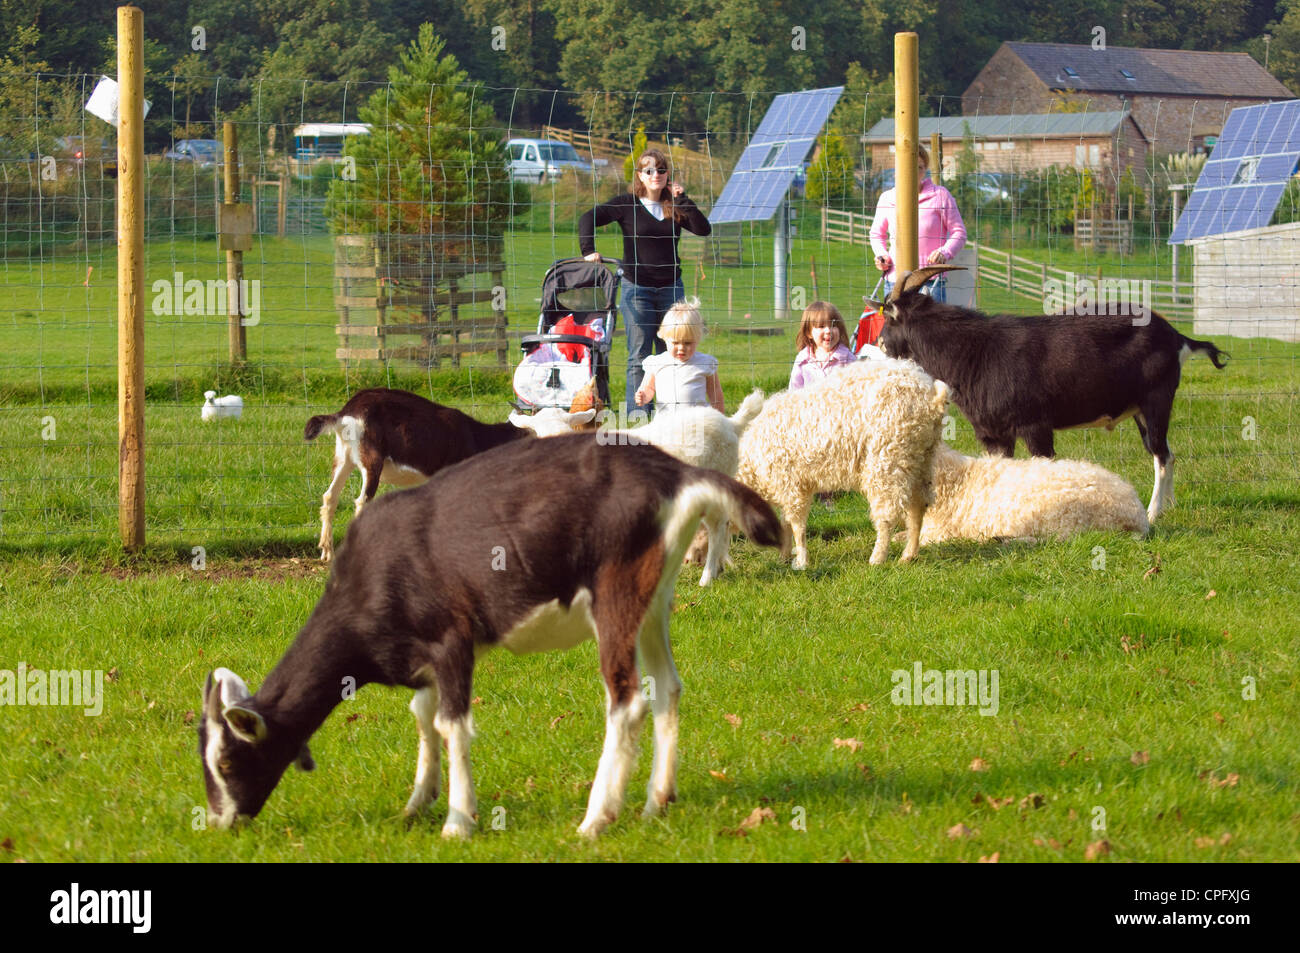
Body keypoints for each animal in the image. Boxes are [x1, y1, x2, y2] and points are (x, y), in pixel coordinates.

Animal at [195, 434, 780, 837]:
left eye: (226, 761)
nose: (220, 821)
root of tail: (678, 473)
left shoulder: (452, 640)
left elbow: (452, 725)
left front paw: (458, 821)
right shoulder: (424, 659)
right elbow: (423, 717)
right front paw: (417, 803)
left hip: (615, 591)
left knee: (627, 698)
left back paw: (595, 817)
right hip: (652, 599)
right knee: (668, 687)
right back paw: (657, 800)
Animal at [301, 384, 530, 556]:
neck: (475, 435)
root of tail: (347, 411)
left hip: (344, 457)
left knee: (330, 496)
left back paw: (327, 552)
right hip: (371, 460)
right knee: (361, 501)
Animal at [738, 356, 951, 564]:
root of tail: (931, 395)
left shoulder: (791, 486)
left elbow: (797, 526)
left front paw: (801, 561)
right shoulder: (788, 489)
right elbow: (786, 523)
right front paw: (783, 556)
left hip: (888, 460)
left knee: (887, 515)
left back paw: (877, 558)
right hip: (920, 460)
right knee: (918, 507)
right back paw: (908, 556)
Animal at [873, 263, 1227, 520]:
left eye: (888, 320)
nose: (877, 345)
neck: (974, 352)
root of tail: (1177, 337)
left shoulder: (1035, 425)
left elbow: (1044, 467)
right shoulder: (994, 434)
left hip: (1156, 402)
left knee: (1161, 455)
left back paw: (1153, 514)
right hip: (1141, 410)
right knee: (1167, 453)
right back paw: (1169, 506)